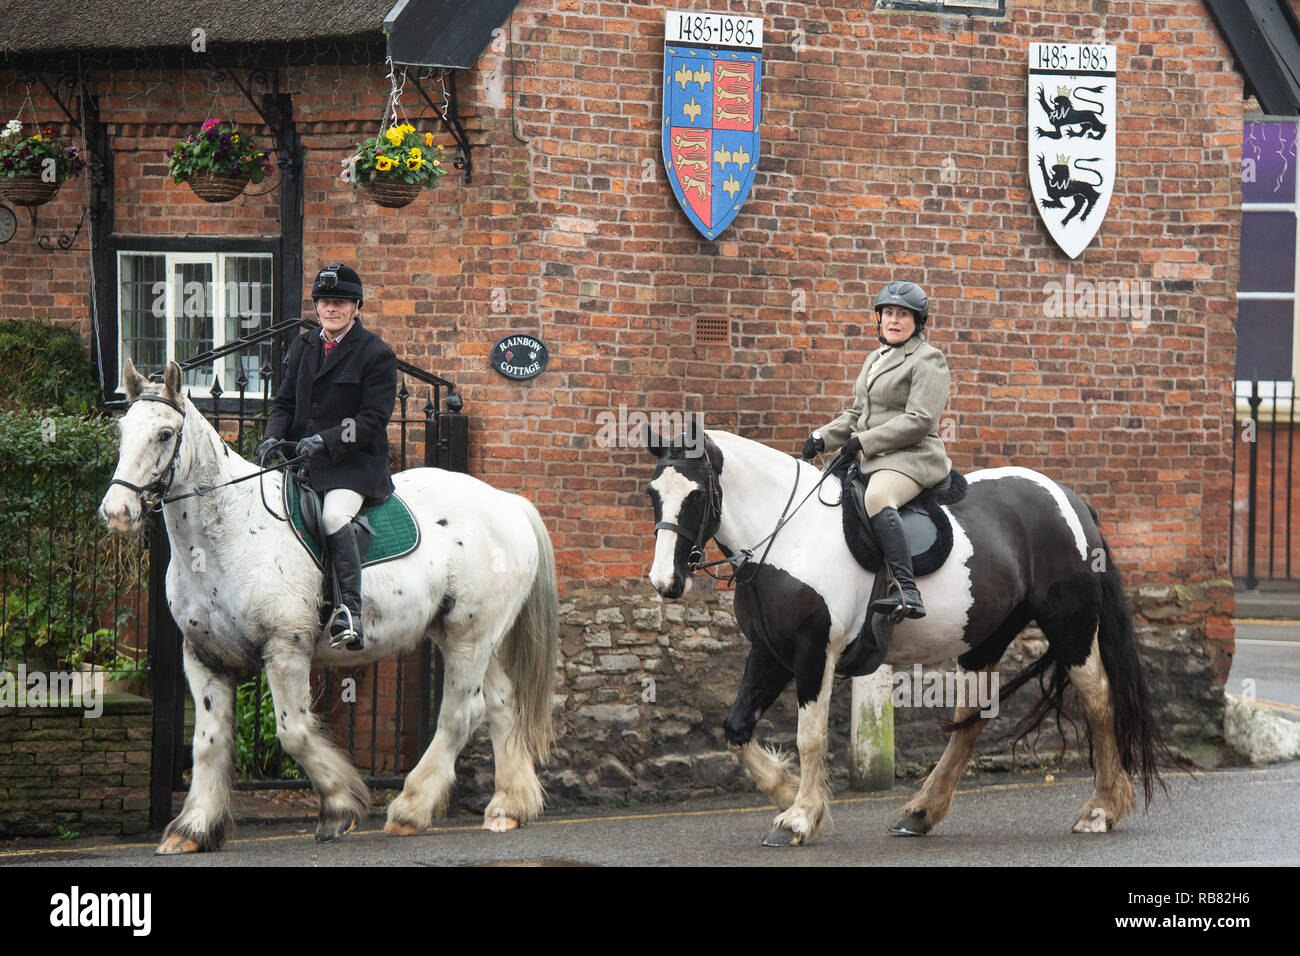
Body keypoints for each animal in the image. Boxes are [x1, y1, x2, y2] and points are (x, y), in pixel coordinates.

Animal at [94, 361, 553, 858]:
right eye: (122, 430)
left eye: (164, 434)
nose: (116, 511)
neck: (225, 535)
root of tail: (507, 503)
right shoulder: (203, 655)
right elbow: (208, 742)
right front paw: (194, 828)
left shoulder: (285, 650)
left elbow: (293, 732)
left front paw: (339, 807)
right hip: (473, 636)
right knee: (502, 702)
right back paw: (508, 806)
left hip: (468, 638)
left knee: (460, 714)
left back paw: (411, 809)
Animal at [644, 429, 1185, 848]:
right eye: (652, 493)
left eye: (696, 494)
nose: (665, 581)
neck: (786, 537)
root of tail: (1070, 499)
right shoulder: (770, 653)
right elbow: (736, 728)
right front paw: (789, 792)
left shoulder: (813, 652)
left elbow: (810, 736)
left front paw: (799, 816)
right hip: (985, 638)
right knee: (971, 721)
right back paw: (920, 813)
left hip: (1070, 627)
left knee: (1098, 702)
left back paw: (1101, 810)